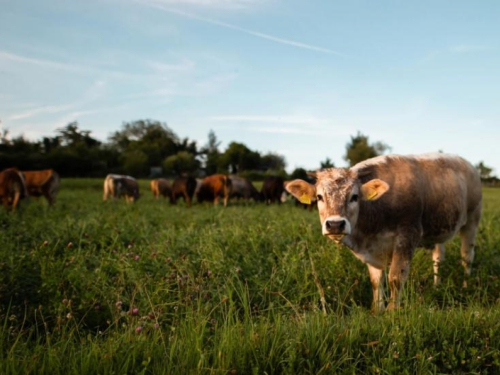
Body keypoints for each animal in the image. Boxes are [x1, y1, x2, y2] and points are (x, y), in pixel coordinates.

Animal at [288, 153, 482, 314]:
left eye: (354, 197)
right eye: (319, 197)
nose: (335, 224)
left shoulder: (407, 235)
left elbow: (395, 277)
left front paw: (391, 312)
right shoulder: (373, 249)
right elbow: (376, 281)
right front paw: (377, 310)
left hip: (472, 221)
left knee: (467, 256)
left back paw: (465, 285)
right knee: (438, 257)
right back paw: (437, 286)